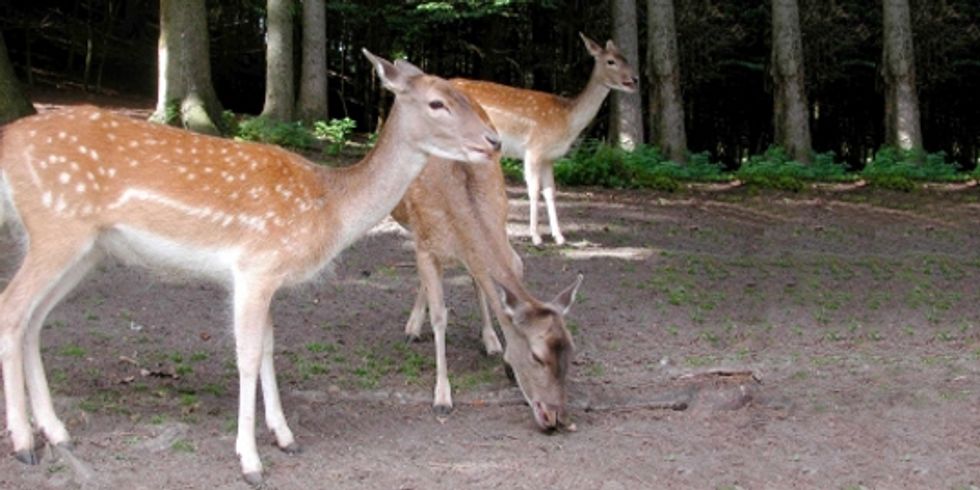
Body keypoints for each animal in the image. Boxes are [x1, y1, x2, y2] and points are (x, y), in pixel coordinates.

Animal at [0, 50, 502, 486]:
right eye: (437, 102)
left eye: (465, 96)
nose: (494, 141)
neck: (328, 207)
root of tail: (7, 142)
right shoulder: (254, 266)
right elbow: (245, 356)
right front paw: (250, 461)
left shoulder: (270, 276)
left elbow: (268, 349)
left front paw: (285, 437)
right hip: (57, 229)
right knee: (12, 308)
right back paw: (24, 443)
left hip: (84, 249)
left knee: (34, 320)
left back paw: (57, 432)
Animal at [390, 121, 580, 428]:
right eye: (537, 356)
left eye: (571, 350)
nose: (557, 417)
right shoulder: (426, 246)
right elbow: (440, 316)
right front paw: (442, 397)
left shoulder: (499, 245)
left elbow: (489, 282)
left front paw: (501, 353)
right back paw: (412, 328)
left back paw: (489, 340)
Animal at [450, 32, 640, 245]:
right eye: (611, 61)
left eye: (626, 58)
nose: (635, 79)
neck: (567, 121)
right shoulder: (534, 149)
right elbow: (533, 190)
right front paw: (536, 236)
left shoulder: (549, 157)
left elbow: (550, 191)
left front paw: (559, 236)